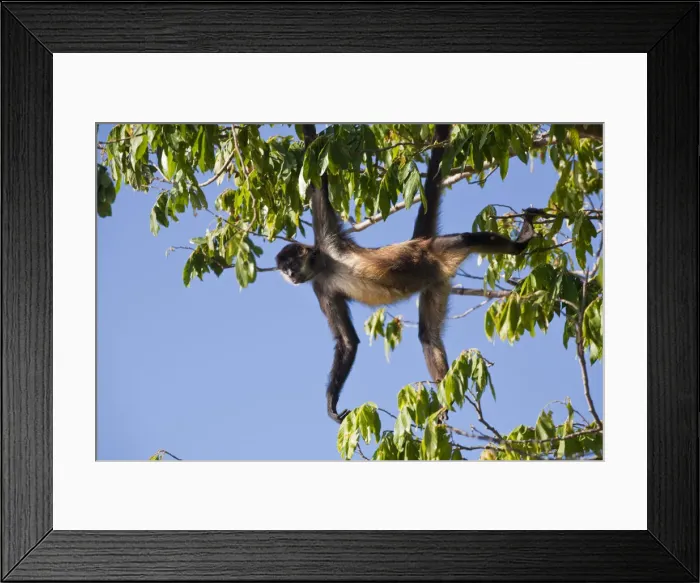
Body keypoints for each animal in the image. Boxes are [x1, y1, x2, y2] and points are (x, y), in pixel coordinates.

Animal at [276, 124, 544, 423]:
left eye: (291, 265)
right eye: (285, 270)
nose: (291, 276)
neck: (327, 265)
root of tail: (419, 243)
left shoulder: (327, 236)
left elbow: (316, 179)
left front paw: (309, 135)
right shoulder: (320, 287)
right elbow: (347, 341)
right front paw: (331, 405)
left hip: (436, 253)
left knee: (466, 238)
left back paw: (520, 243)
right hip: (437, 282)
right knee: (428, 335)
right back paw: (444, 398)